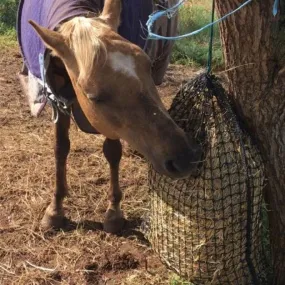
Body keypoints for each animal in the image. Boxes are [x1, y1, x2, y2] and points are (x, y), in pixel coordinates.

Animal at [18, 0, 200, 232]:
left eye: (147, 65)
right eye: (95, 96)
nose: (183, 159)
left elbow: (112, 153)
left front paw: (114, 212)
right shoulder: (57, 100)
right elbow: (60, 148)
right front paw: (55, 209)